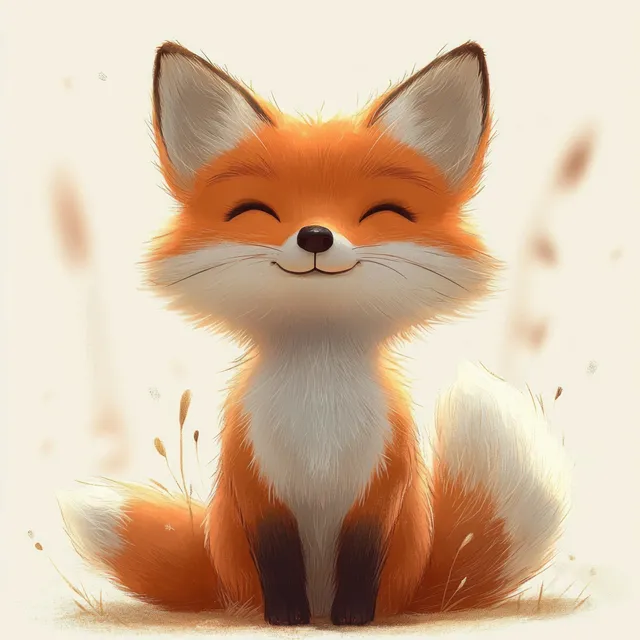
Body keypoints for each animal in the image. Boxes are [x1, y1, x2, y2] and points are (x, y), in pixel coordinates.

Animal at [56, 41, 570, 626]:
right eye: (255, 211)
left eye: (384, 211)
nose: (316, 235)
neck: (318, 411)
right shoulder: (257, 486)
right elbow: (279, 560)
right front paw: (287, 618)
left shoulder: (381, 487)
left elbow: (360, 560)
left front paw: (353, 619)